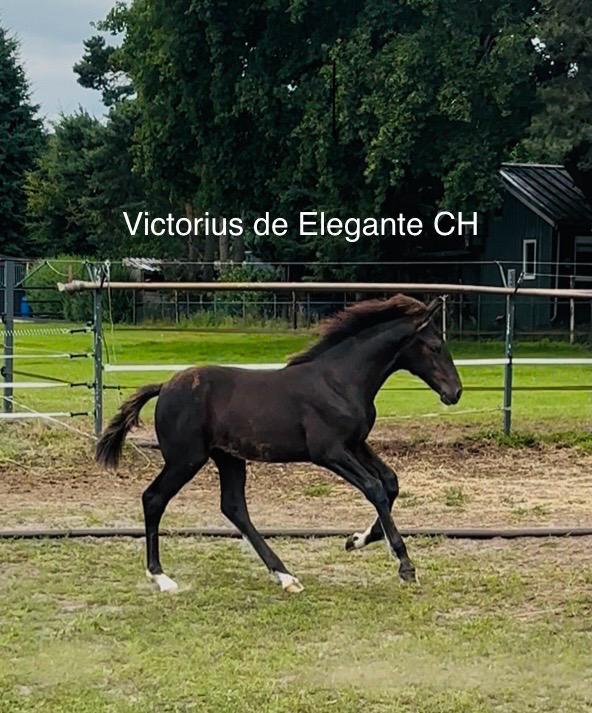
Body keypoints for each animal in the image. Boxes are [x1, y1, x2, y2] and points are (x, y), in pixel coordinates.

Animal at [96, 294, 462, 593]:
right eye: (434, 346)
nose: (455, 392)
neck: (339, 380)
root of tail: (164, 386)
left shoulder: (357, 444)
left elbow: (390, 482)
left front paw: (358, 540)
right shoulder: (329, 452)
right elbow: (374, 488)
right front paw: (405, 564)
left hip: (228, 458)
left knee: (234, 508)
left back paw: (285, 576)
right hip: (186, 458)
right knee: (154, 498)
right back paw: (161, 577)